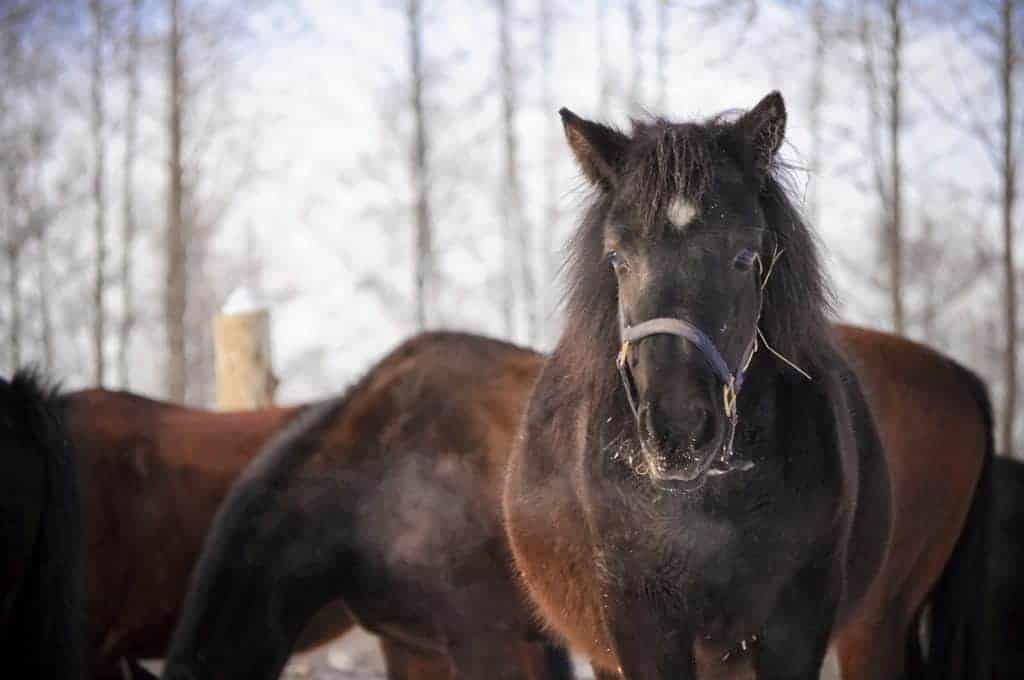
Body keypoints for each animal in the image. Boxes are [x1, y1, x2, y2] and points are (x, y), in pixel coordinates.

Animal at [503, 92, 992, 680]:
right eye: (618, 257)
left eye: (742, 256)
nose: (677, 431)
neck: (710, 502)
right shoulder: (640, 625)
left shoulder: (797, 623)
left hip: (876, 624)